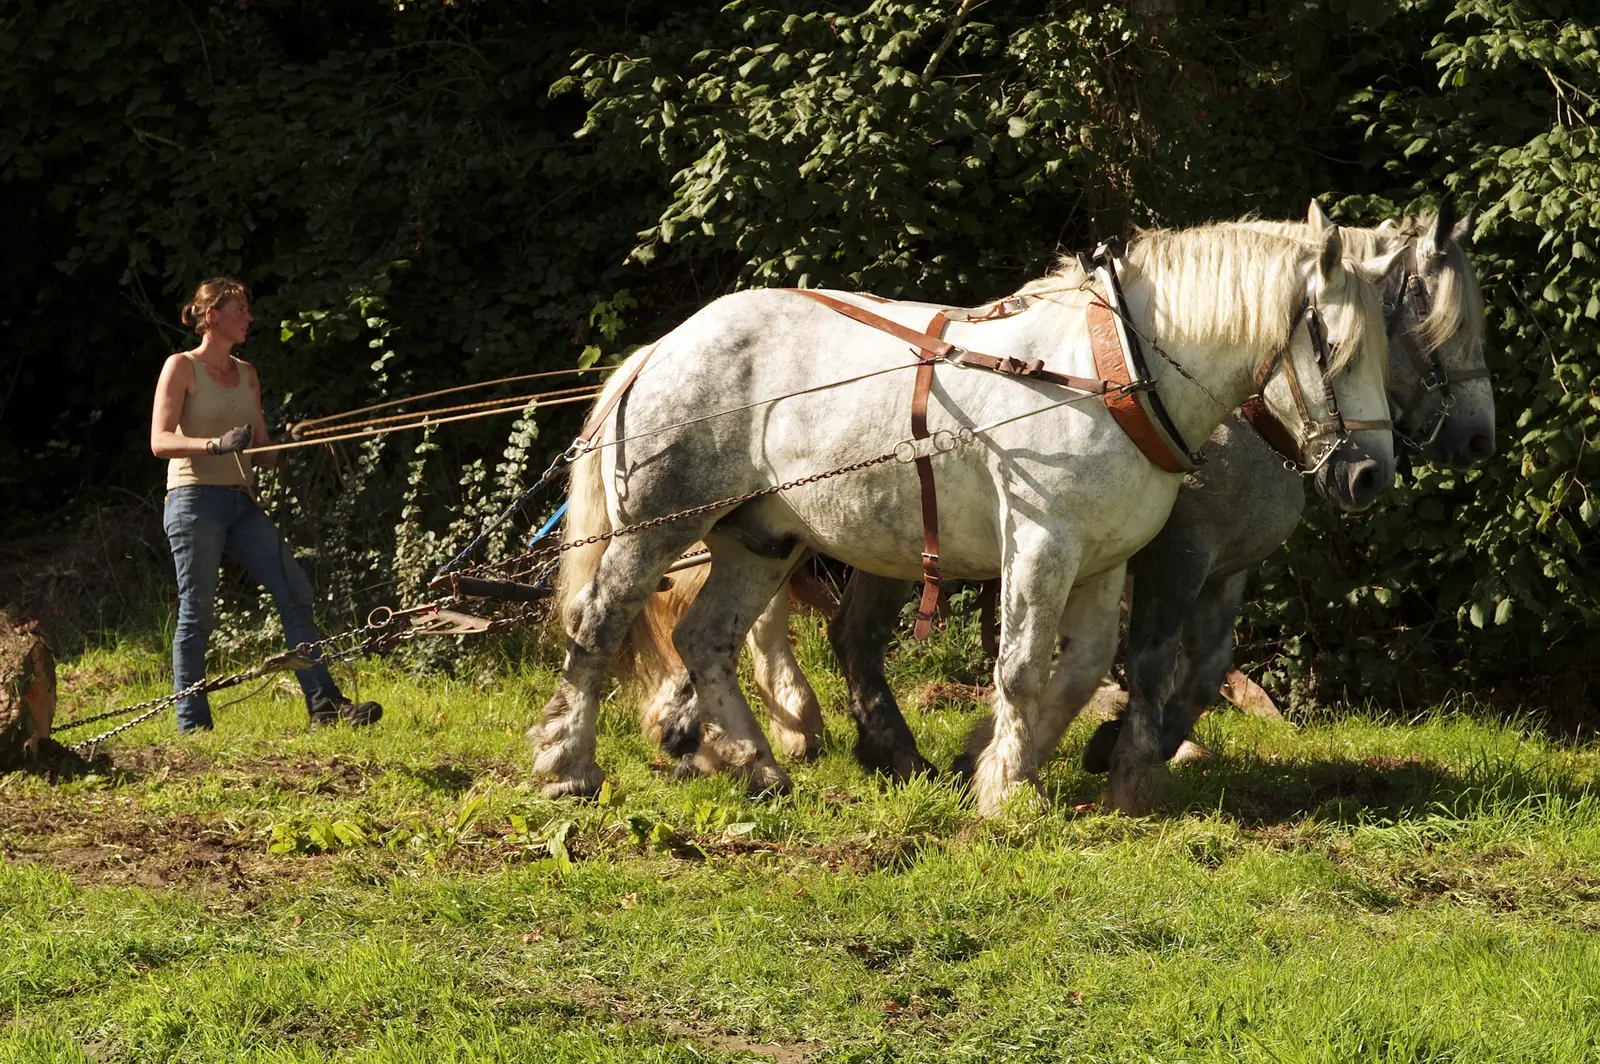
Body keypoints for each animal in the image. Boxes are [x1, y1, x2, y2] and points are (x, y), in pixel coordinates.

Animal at [636, 199, 1489, 814]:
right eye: (1428, 323)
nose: (1370, 476)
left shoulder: (1221, 571)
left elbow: (1195, 668)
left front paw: (1038, 753)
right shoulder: (1169, 557)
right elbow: (1145, 663)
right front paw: (1112, 764)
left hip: (841, 531)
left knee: (811, 631)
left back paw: (760, 738)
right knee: (787, 627)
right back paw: (775, 731)